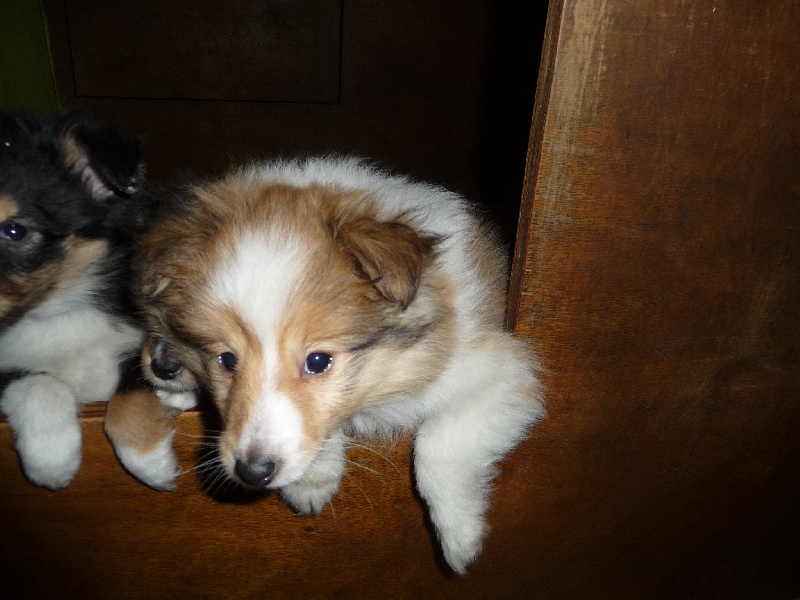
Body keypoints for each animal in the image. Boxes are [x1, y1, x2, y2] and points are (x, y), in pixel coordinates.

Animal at [0, 112, 158, 488]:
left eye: (14, 230)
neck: (56, 311)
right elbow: (38, 382)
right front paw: (52, 460)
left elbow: (133, 388)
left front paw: (151, 461)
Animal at [134, 157, 544, 568]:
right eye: (226, 359)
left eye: (318, 361)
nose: (252, 472)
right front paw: (313, 481)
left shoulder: (501, 375)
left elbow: (437, 445)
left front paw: (461, 542)